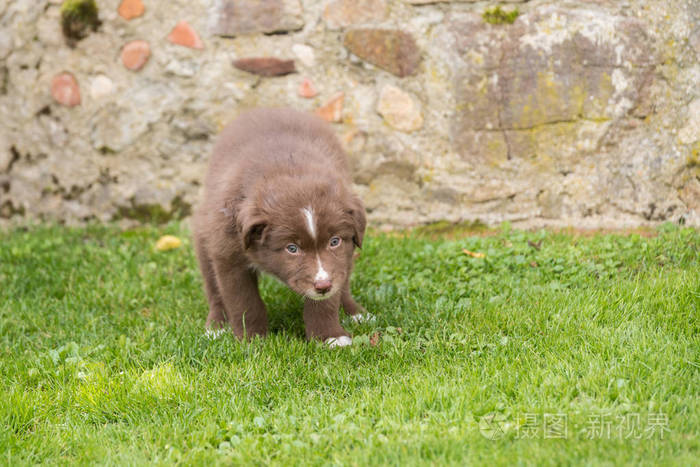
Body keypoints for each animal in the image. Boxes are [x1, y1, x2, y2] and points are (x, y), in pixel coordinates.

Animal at [189, 108, 370, 346]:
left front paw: (330, 336)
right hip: (206, 237)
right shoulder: (228, 253)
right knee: (214, 288)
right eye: (291, 248)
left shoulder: (337, 260)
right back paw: (218, 326)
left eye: (334, 241)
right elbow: (243, 301)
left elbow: (327, 300)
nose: (323, 286)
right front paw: (252, 338)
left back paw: (355, 312)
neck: (288, 169)